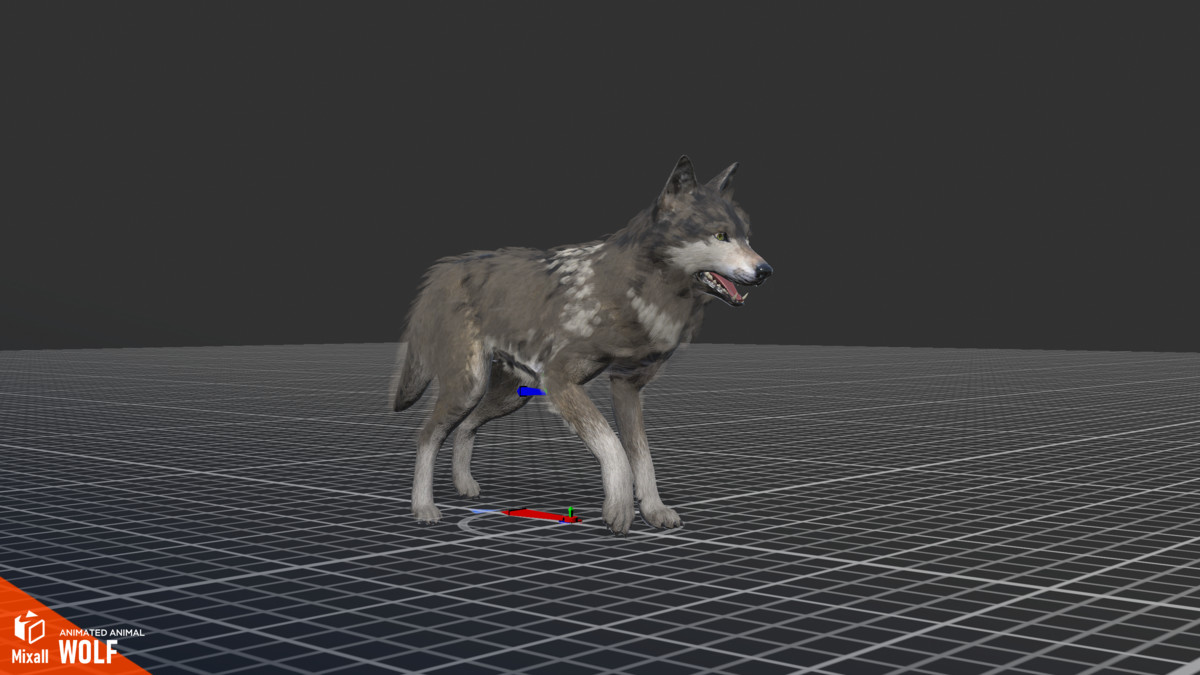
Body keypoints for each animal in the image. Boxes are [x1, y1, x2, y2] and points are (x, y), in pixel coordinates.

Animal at [391, 155, 772, 535]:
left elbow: (643, 459)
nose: (766, 271)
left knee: (465, 427)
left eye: (746, 237)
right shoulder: (561, 381)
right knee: (426, 436)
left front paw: (653, 510)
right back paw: (423, 507)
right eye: (721, 235)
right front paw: (619, 509)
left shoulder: (626, 386)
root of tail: (444, 270)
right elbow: (614, 448)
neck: (637, 290)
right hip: (471, 387)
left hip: (510, 396)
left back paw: (465, 485)